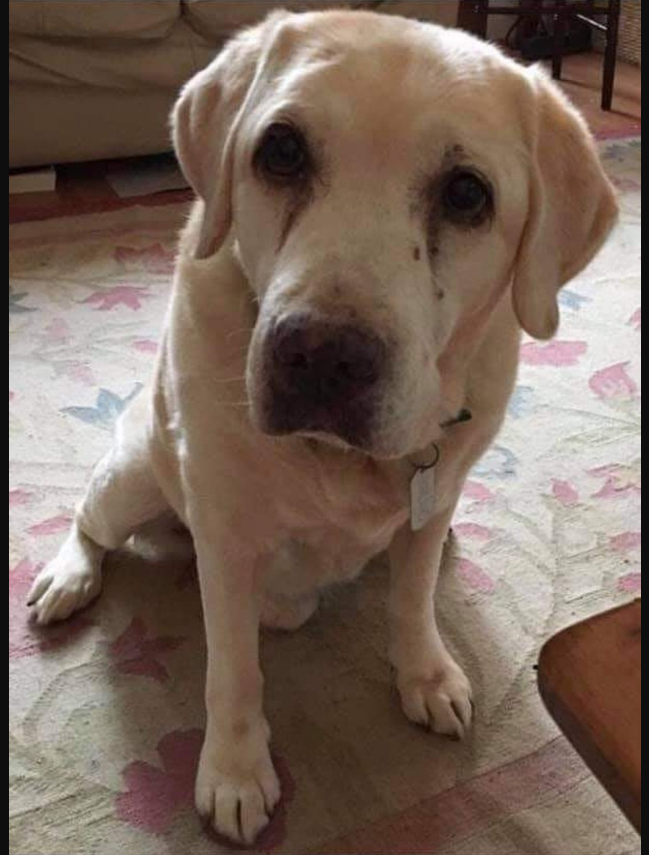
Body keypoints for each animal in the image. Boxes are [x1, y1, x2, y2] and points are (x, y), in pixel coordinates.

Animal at [31, 8, 616, 848]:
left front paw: (425, 674)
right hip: (134, 474)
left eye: (466, 193)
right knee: (88, 518)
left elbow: (411, 600)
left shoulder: (432, 500)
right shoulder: (225, 540)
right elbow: (232, 670)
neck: (338, 461)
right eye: (280, 149)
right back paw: (68, 577)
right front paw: (235, 770)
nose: (322, 355)